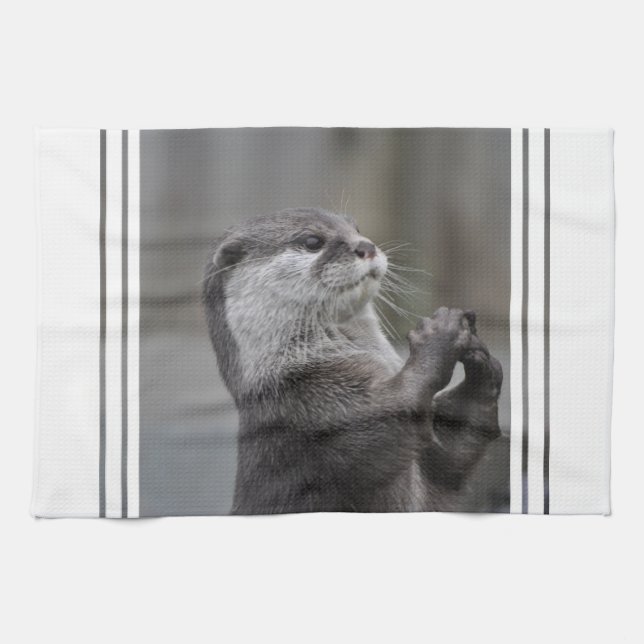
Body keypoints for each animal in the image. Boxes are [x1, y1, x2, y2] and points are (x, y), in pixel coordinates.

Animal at [203, 208, 502, 514]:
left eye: (356, 229)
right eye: (312, 241)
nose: (366, 246)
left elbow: (451, 461)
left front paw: (480, 367)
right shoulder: (314, 408)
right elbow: (397, 411)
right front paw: (439, 334)